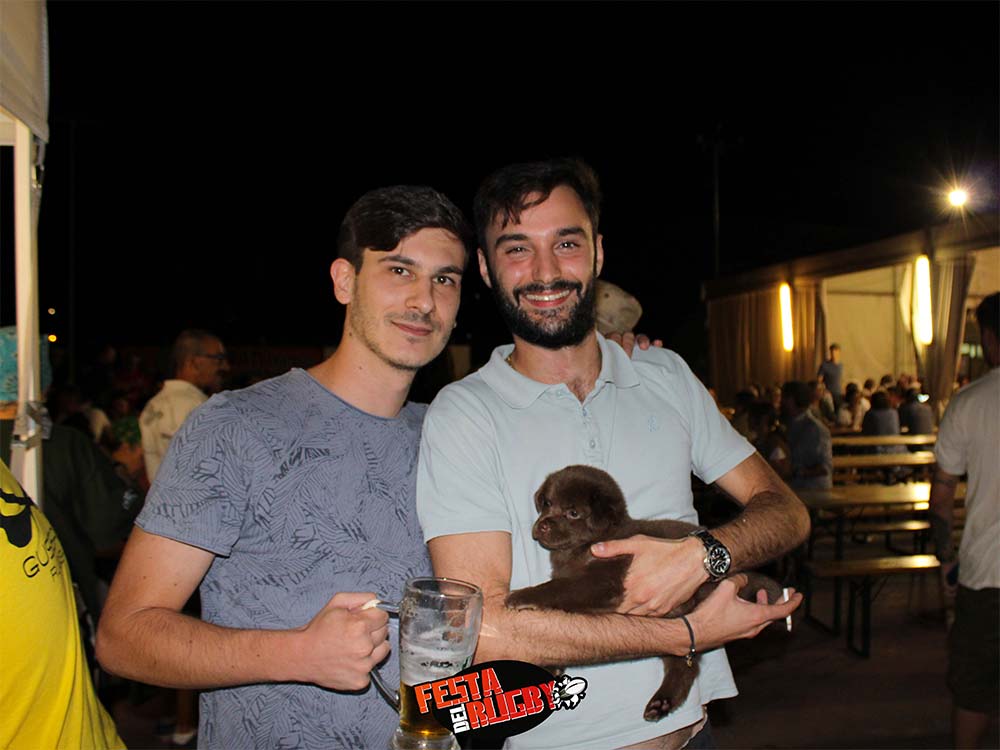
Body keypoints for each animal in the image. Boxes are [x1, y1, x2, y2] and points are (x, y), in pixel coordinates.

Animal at [505, 464, 783, 722]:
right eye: (547, 503)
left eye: (573, 512)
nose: (542, 526)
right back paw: (662, 703)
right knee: (684, 665)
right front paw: (552, 667)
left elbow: (560, 589)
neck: (583, 548)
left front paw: (522, 596)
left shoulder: (605, 580)